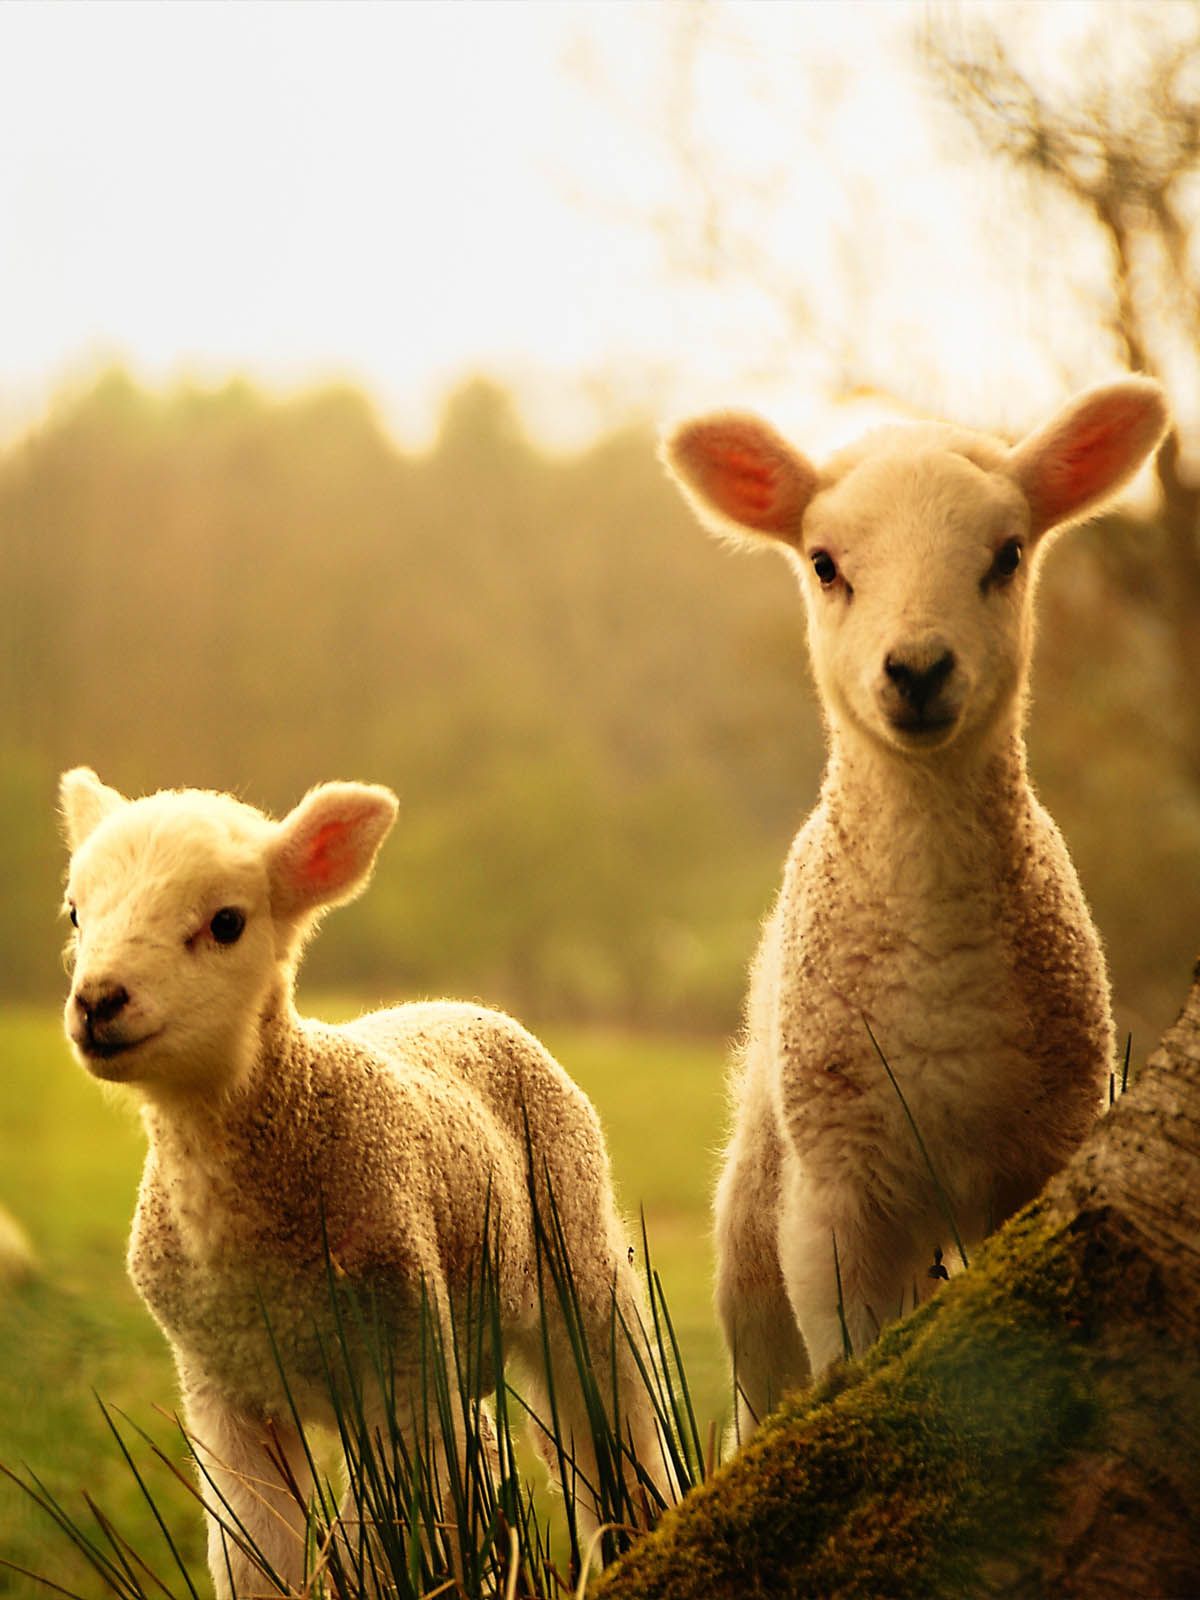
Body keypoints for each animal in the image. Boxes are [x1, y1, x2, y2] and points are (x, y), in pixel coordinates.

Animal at [58, 769, 669, 1596]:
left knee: (614, 1429)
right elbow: (256, 1557)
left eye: (226, 922)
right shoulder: (225, 1391)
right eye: (75, 912)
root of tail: (465, 1004)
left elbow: (377, 1548)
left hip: (575, 1252)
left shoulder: (400, 1368)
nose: (99, 1002)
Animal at [661, 377, 1170, 1433]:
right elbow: (845, 1355)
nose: (920, 669)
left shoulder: (1042, 1156)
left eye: (1007, 555)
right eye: (824, 565)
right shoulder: (836, 1193)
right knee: (761, 1387)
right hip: (754, 1223)